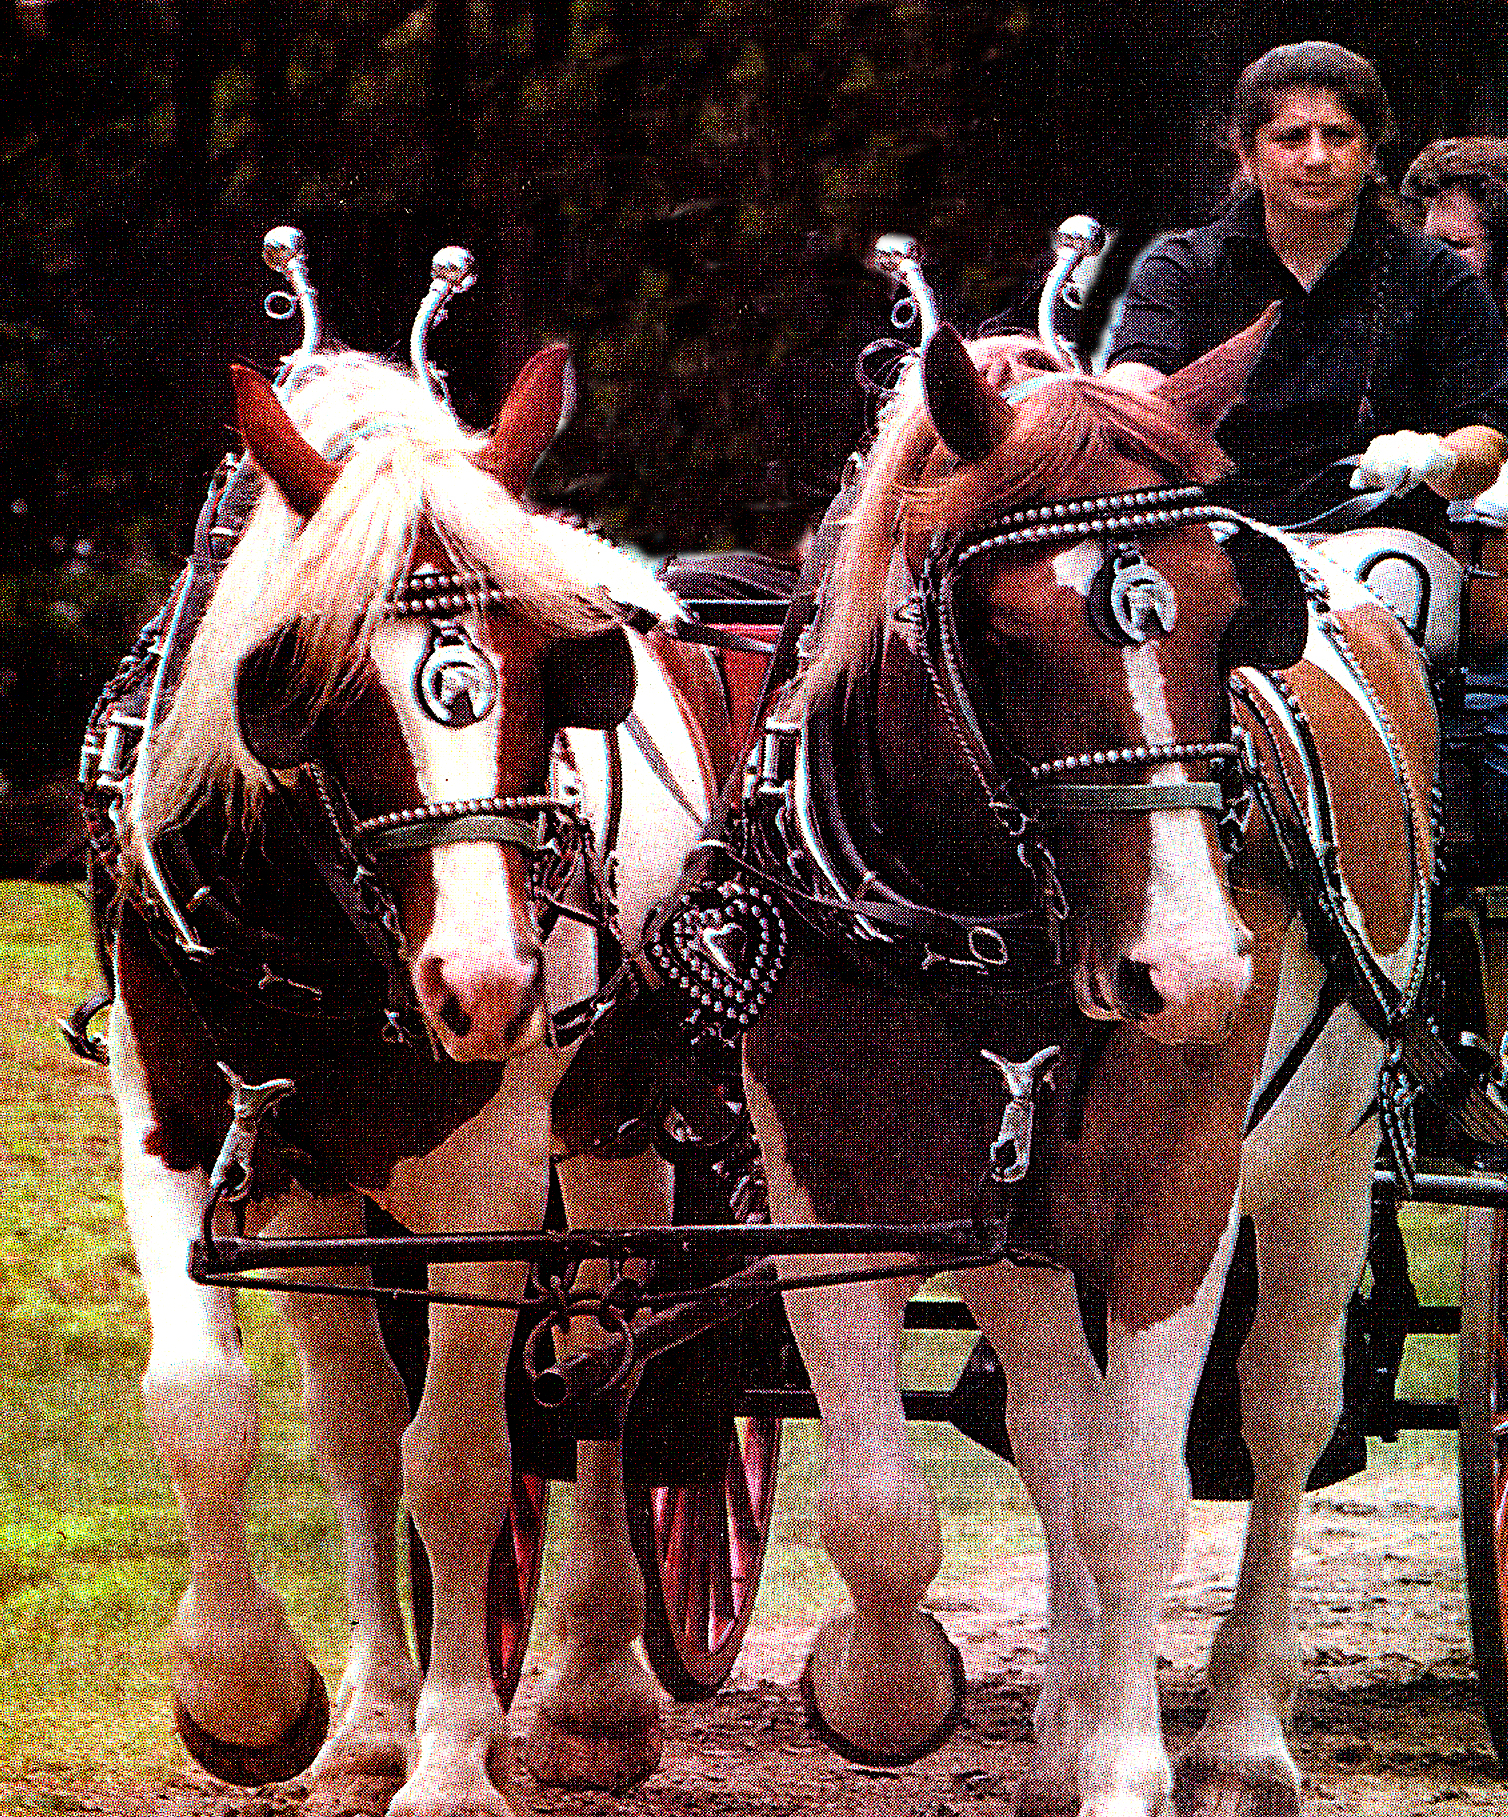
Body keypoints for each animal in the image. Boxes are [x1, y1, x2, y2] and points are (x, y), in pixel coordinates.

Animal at [91, 347, 734, 1809]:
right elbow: (236, 1415)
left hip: (614, 1130)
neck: (322, 929)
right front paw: (267, 1698)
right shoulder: (206, 1141)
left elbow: (454, 1460)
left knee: (599, 1369)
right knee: (384, 1413)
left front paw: (447, 1755)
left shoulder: (491, 1184)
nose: (485, 984)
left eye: (556, 670)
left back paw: (595, 1688)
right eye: (311, 682)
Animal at [748, 319, 1438, 1809]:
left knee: (1285, 1408)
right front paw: (897, 1694)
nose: (1190, 969)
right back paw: (1066, 1717)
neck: (984, 930)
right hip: (1024, 1228)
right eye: (1005, 636)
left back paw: (1240, 1727)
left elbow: (1136, 1499)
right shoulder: (830, 1192)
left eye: (1230, 615)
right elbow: (889, 1502)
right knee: (1055, 1429)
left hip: (1329, 1157)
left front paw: (1128, 1761)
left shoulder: (1180, 1196)